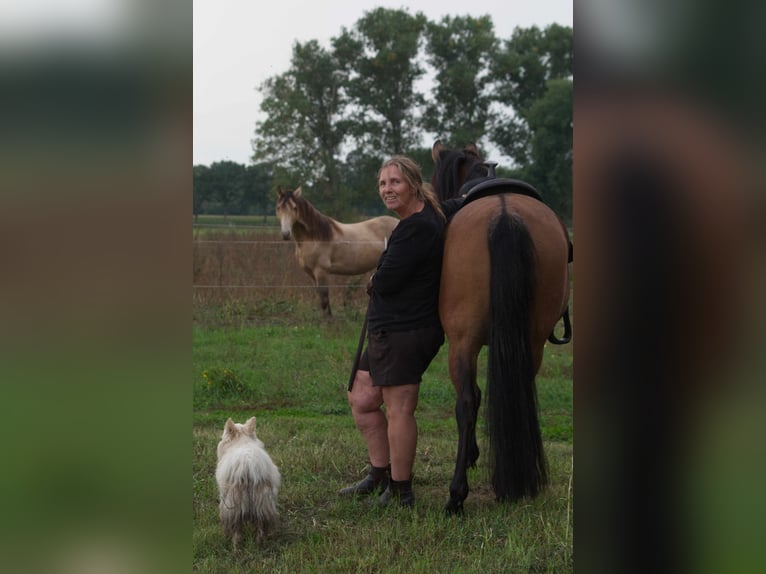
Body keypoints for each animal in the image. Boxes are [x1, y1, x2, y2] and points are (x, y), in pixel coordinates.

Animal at [216, 416, 282, 548]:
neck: (242, 441)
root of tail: (247, 464)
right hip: (263, 501)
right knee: (261, 526)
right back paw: (260, 543)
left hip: (232, 504)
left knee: (236, 529)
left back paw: (235, 546)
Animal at [432, 142, 568, 516]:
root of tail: (505, 214)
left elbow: (474, 397)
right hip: (532, 340)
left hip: (462, 343)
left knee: (466, 402)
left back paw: (456, 495)